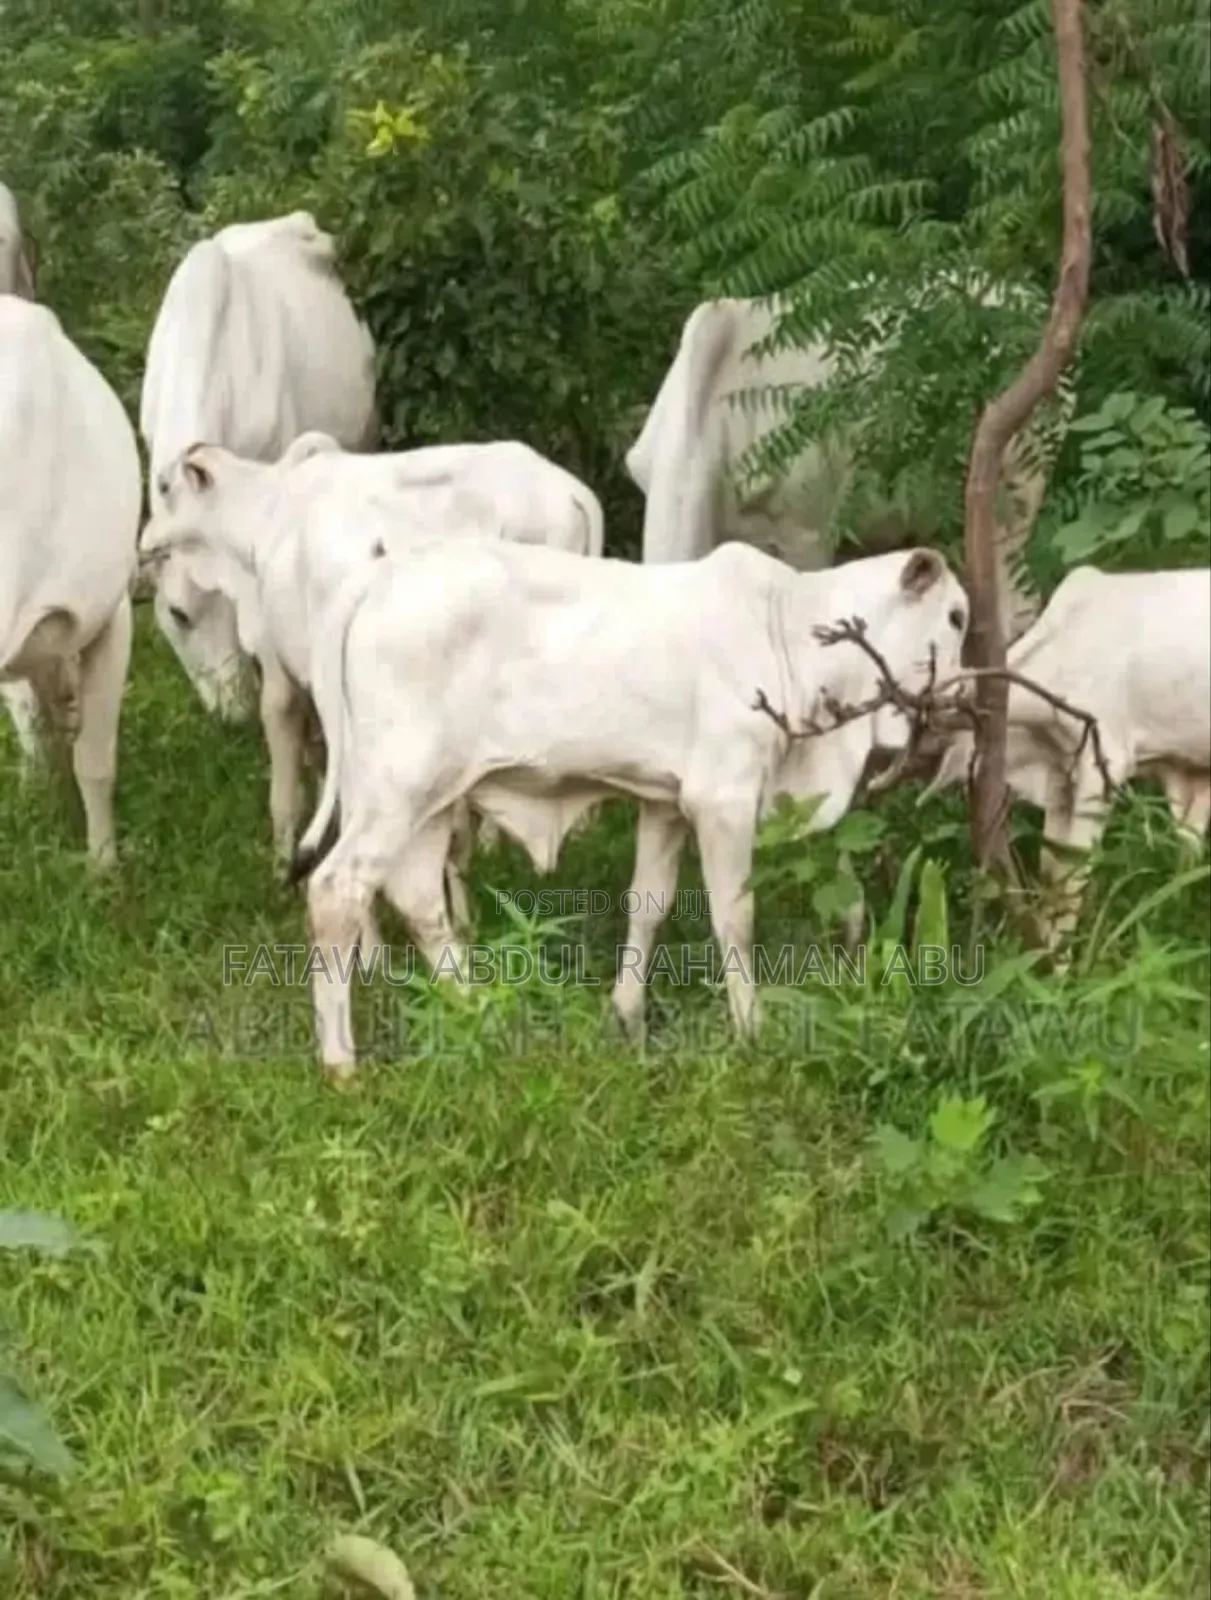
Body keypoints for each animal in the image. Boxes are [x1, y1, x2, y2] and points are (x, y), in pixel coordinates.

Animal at [136, 436, 606, 913]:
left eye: (164, 486)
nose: (144, 540)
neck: (269, 509)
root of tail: (571, 491)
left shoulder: (281, 681)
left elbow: (286, 796)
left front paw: (280, 873)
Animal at [285, 536, 970, 1079]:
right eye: (958, 617)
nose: (963, 698)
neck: (790, 634)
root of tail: (383, 574)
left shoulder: (665, 802)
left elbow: (648, 905)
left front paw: (627, 1019)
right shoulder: (723, 798)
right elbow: (735, 919)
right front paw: (751, 1031)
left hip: (432, 797)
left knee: (419, 898)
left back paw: (479, 1013)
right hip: (394, 790)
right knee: (336, 890)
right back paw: (342, 1064)